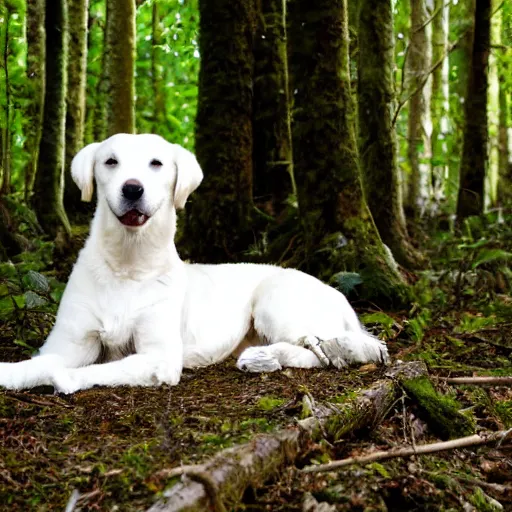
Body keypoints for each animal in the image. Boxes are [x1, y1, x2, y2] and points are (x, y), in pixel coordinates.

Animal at [0, 134, 386, 394]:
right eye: (110, 161)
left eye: (156, 163)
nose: (132, 189)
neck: (129, 264)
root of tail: (339, 296)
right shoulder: (69, 342)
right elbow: (43, 360)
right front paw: (12, 373)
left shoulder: (159, 356)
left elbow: (95, 369)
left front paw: (66, 378)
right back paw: (261, 357)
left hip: (276, 298)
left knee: (332, 351)